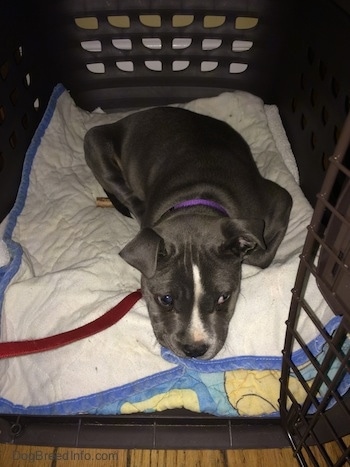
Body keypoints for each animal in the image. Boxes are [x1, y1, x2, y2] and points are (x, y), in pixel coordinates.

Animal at [85, 108, 292, 360]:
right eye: (166, 299)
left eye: (224, 297)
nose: (195, 349)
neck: (199, 200)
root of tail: (129, 117)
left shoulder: (280, 200)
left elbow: (261, 256)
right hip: (96, 141)